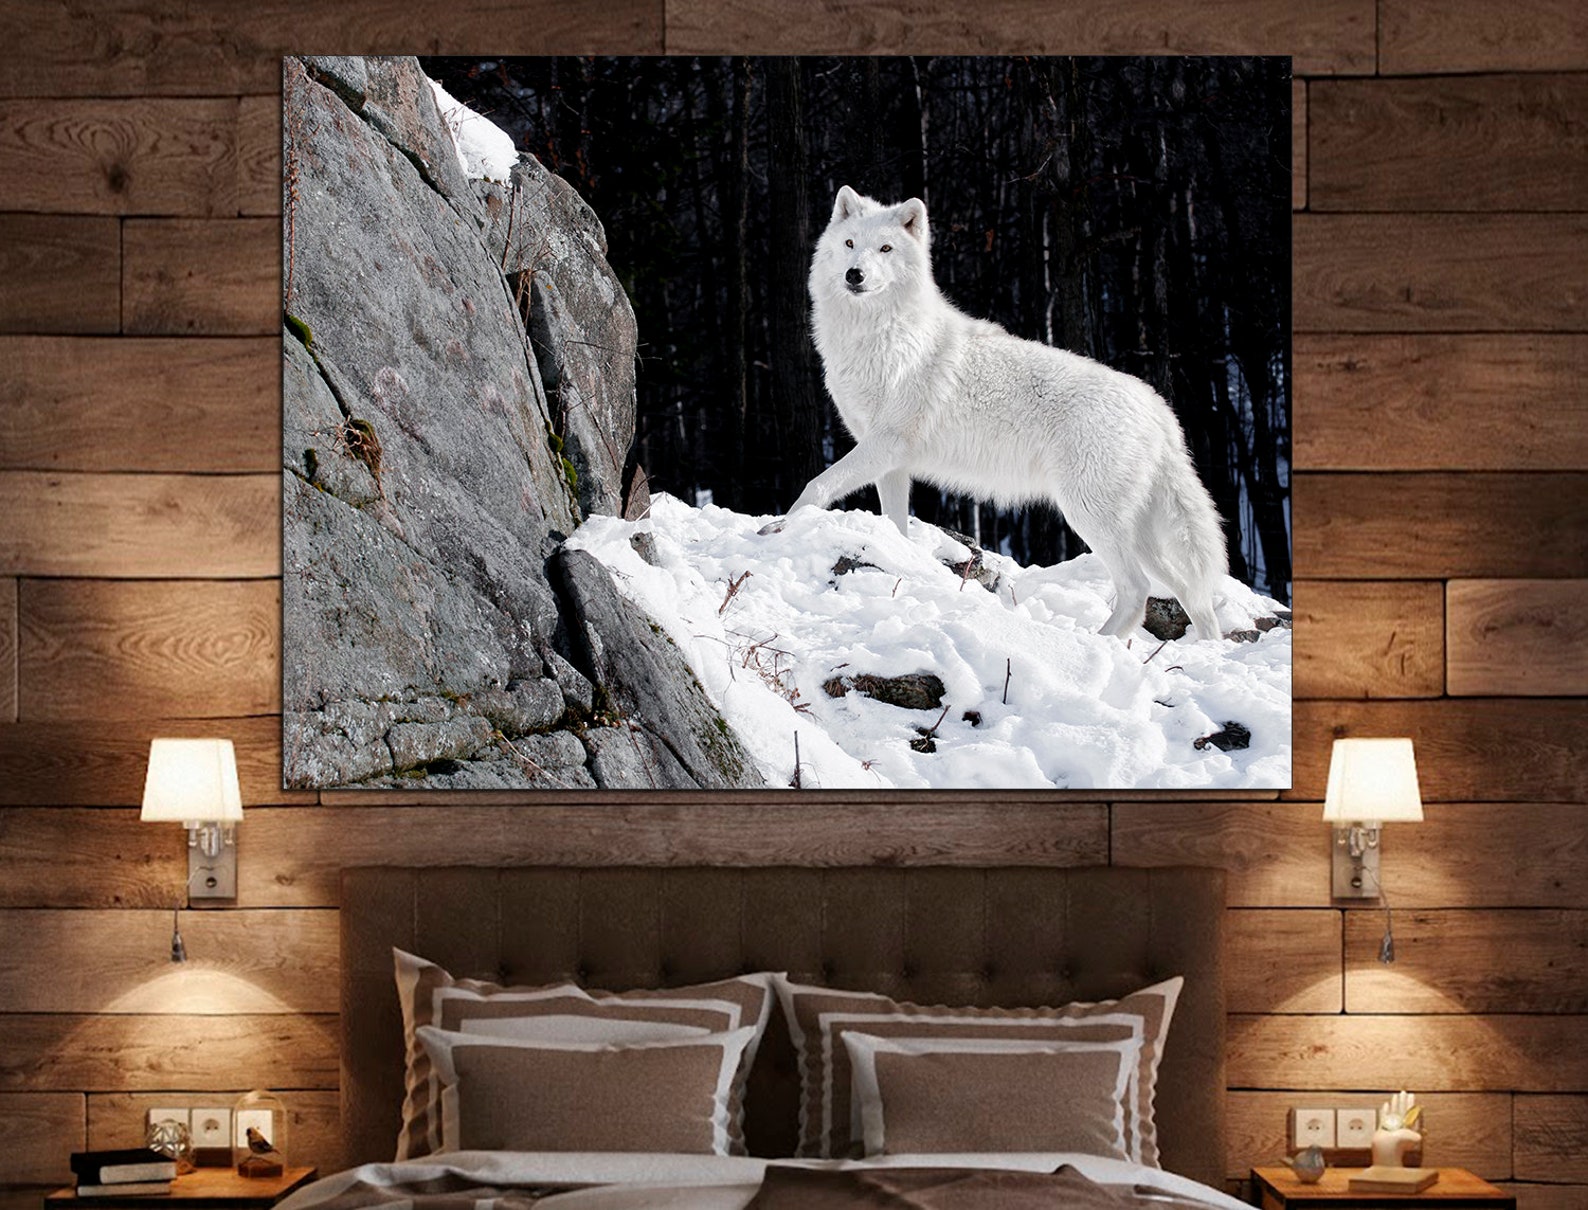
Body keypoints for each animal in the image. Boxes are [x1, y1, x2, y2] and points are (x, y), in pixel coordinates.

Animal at [786, 185, 1228, 642]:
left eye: (885, 249)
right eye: (850, 244)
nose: (854, 274)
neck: (879, 336)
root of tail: (1158, 408)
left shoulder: (885, 443)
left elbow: (815, 487)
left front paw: (779, 529)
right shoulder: (891, 463)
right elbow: (895, 525)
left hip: (1089, 515)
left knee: (1138, 589)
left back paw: (1096, 644)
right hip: (1137, 534)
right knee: (1193, 594)